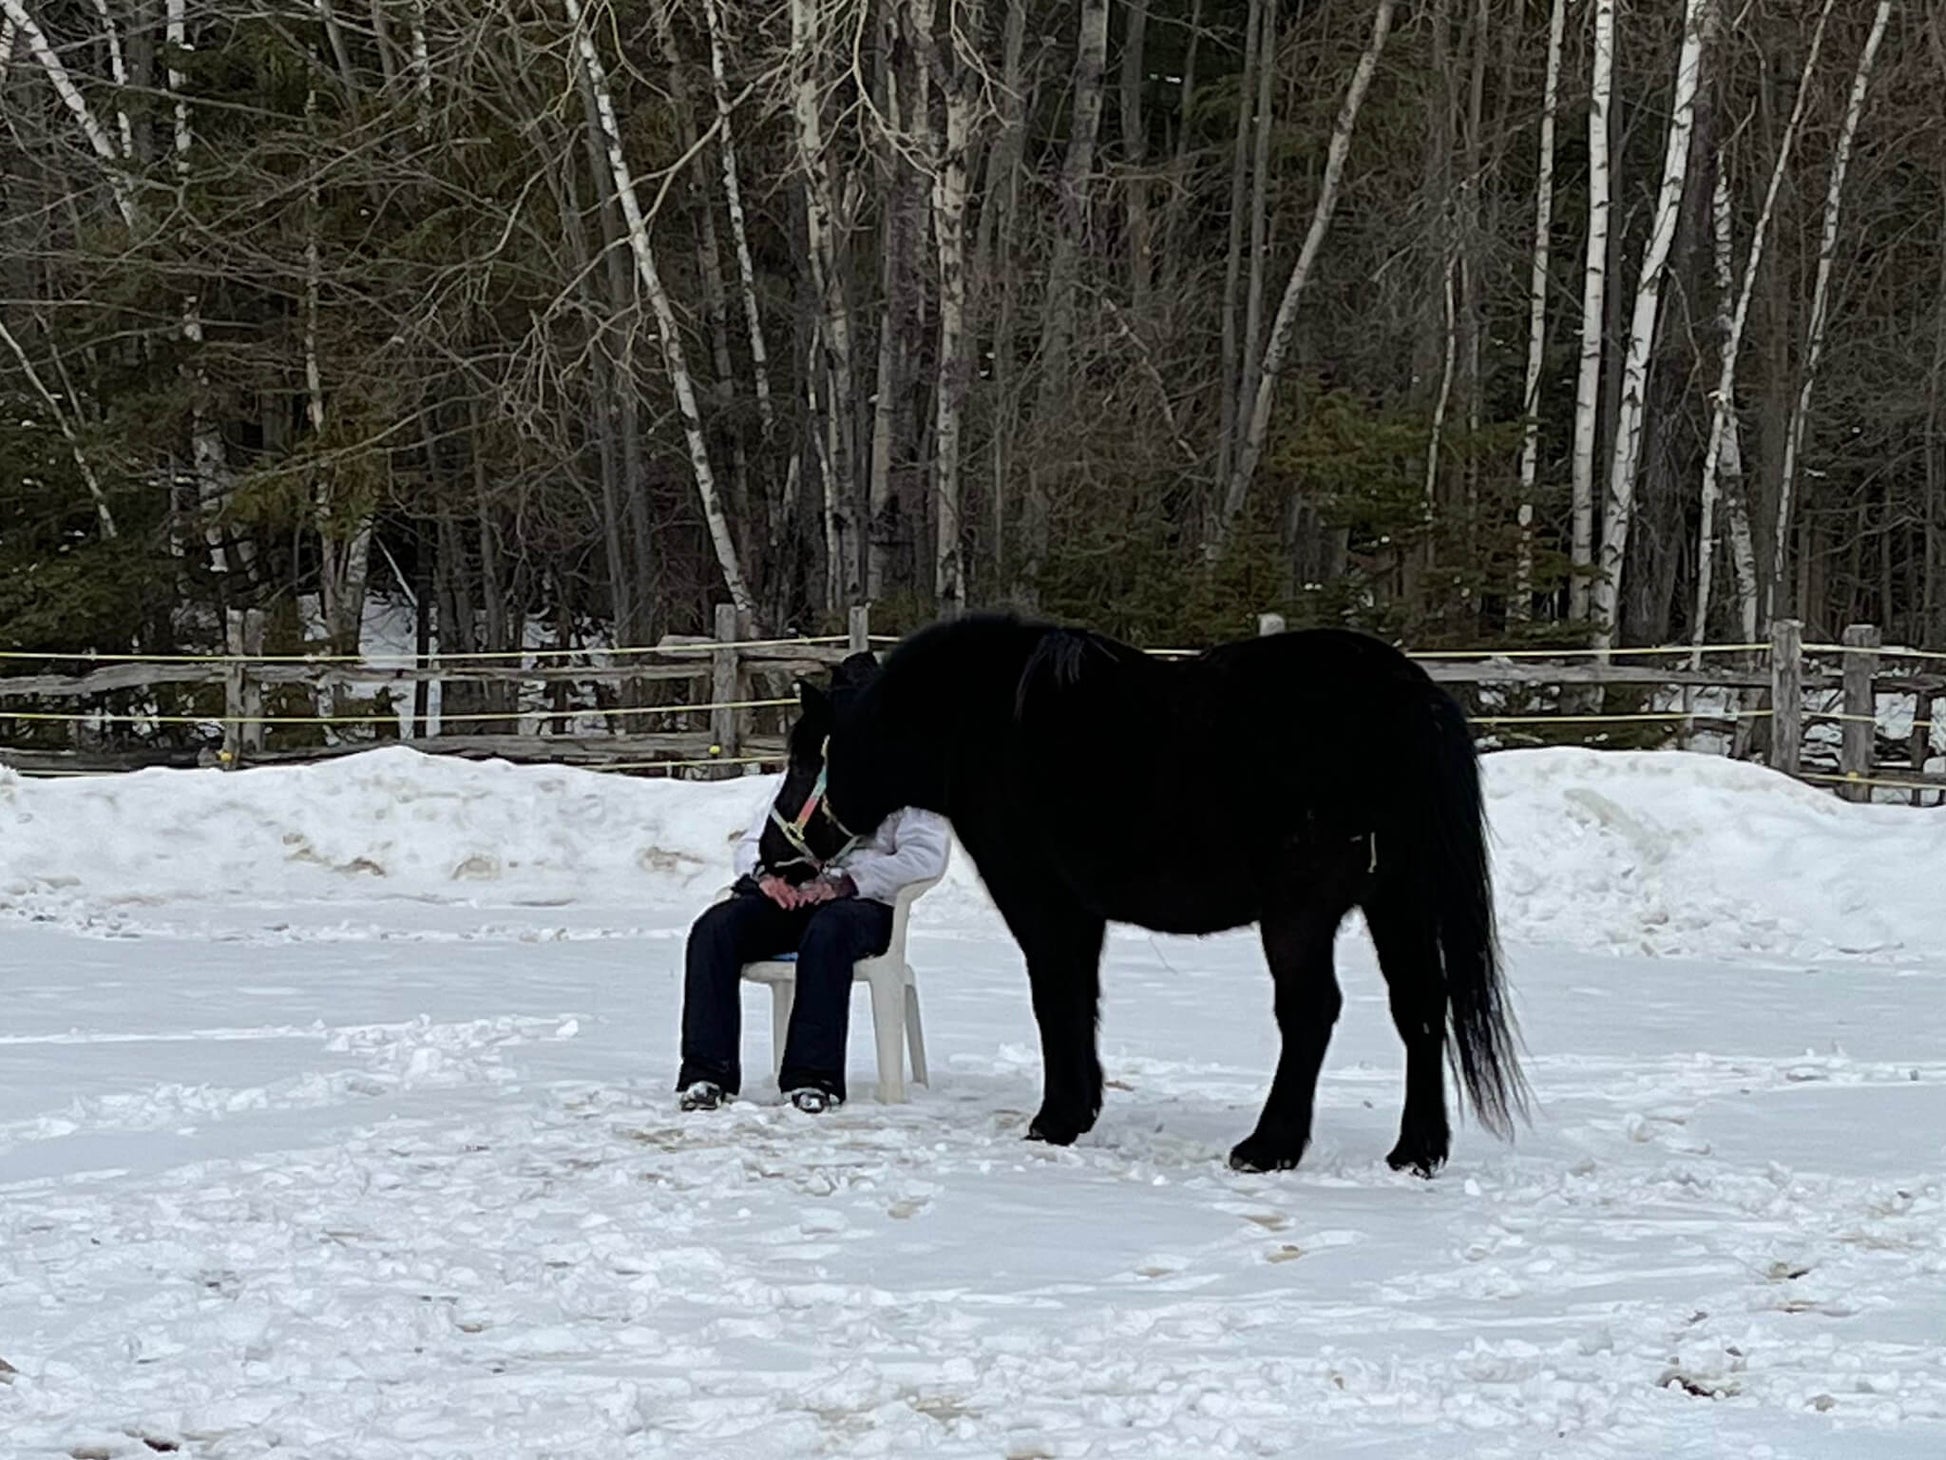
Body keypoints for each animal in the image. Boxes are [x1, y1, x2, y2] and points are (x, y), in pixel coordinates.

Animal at [818, 614, 1525, 1175]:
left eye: (808, 754)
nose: (790, 859)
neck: (979, 719)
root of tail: (1411, 698)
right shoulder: (1082, 913)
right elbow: (1081, 1001)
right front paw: (1081, 1109)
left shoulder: (1040, 901)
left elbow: (1054, 999)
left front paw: (1056, 1119)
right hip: (1397, 902)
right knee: (1420, 1008)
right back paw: (1416, 1151)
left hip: (1302, 913)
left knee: (1312, 1011)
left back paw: (1268, 1147)